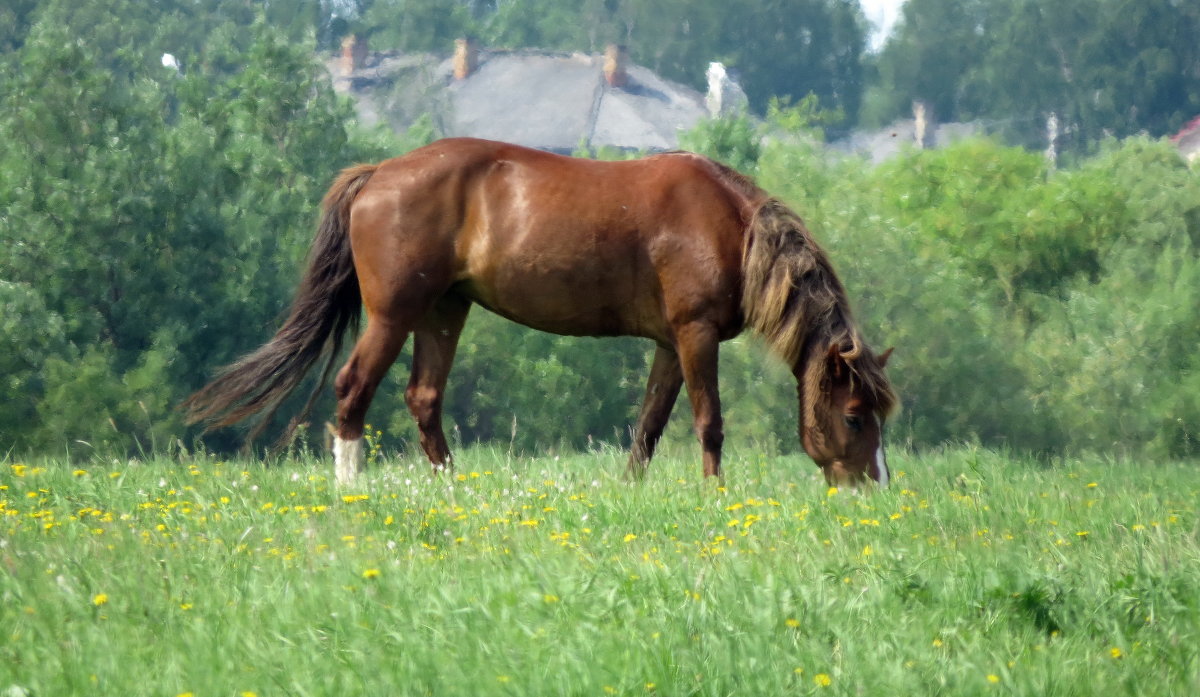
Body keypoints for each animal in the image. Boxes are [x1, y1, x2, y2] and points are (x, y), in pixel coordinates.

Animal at [182, 136, 897, 484]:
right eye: (854, 417)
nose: (872, 488)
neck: (731, 224)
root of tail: (378, 171)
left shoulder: (669, 344)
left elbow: (647, 430)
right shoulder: (695, 336)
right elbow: (709, 424)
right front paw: (715, 497)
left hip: (444, 312)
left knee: (423, 399)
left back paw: (454, 487)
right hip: (394, 315)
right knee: (353, 391)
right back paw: (351, 488)